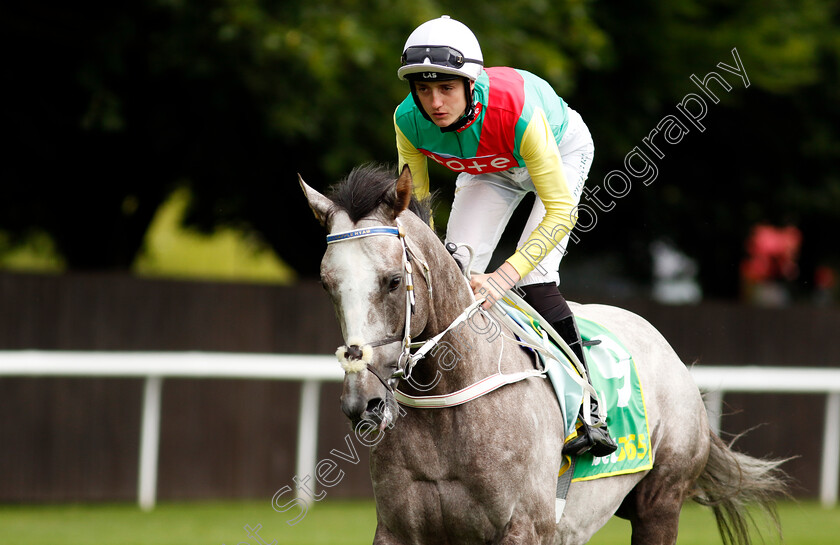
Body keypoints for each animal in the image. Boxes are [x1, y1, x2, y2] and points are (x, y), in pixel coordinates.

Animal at [300, 164, 788, 540]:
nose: (362, 403)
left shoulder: (525, 527)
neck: (448, 407)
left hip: (660, 502)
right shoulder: (398, 530)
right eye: (326, 284)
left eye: (393, 281)